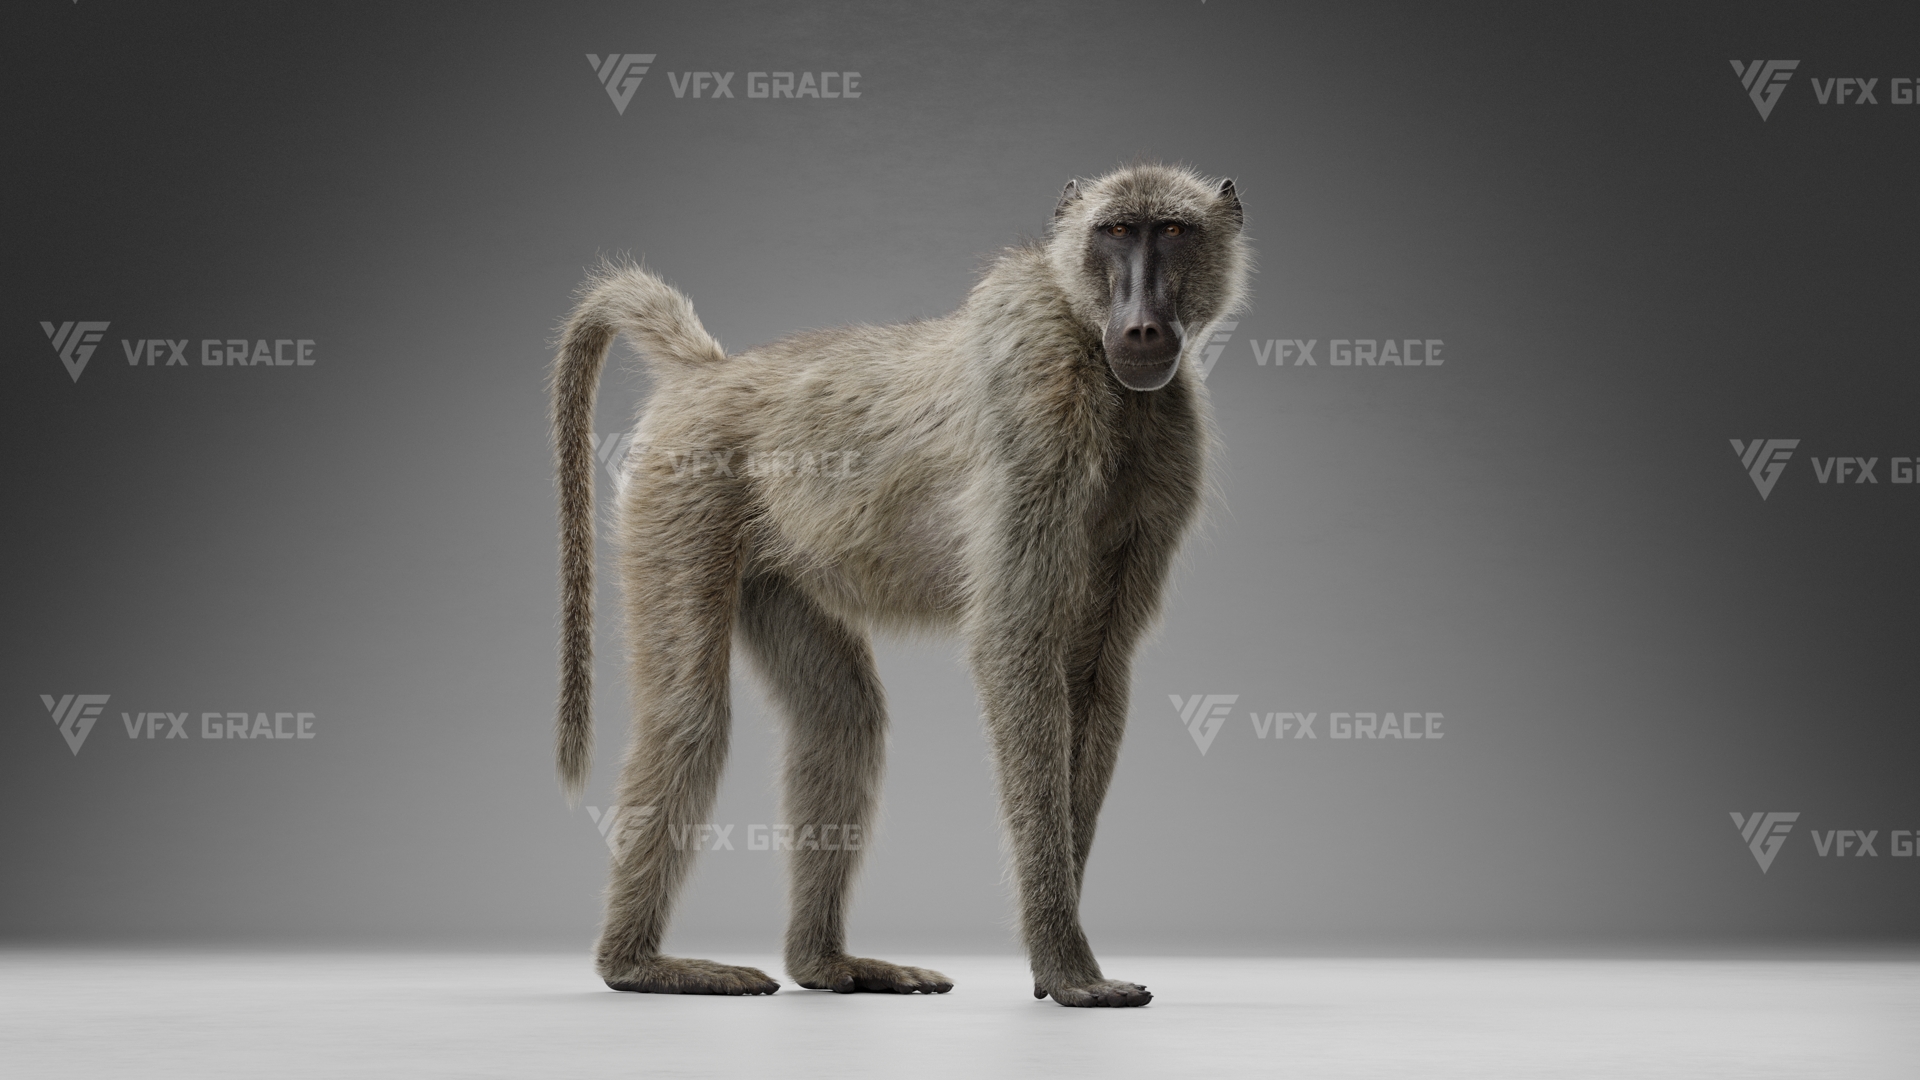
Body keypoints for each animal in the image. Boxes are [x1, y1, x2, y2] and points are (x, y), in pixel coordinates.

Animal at [550, 163, 1250, 1007]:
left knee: (842, 718)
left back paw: (825, 965)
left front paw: (1056, 958)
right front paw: (1065, 964)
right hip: (681, 490)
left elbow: (1092, 671)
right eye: (1116, 233)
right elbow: (1017, 646)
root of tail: (709, 372)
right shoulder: (1038, 407)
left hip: (775, 564)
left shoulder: (1169, 443)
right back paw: (638, 966)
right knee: (687, 716)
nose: (1142, 328)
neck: (1090, 344)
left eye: (1172, 233)